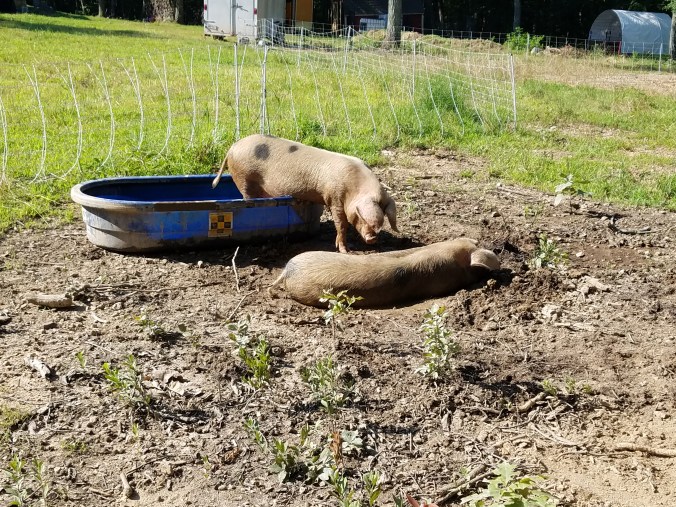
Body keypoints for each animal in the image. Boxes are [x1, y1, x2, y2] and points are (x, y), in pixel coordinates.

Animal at [212, 134, 398, 253]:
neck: (354, 188)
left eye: (382, 220)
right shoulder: (334, 197)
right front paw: (345, 251)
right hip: (243, 177)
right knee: (247, 196)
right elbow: (341, 224)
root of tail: (233, 147)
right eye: (361, 216)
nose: (372, 239)